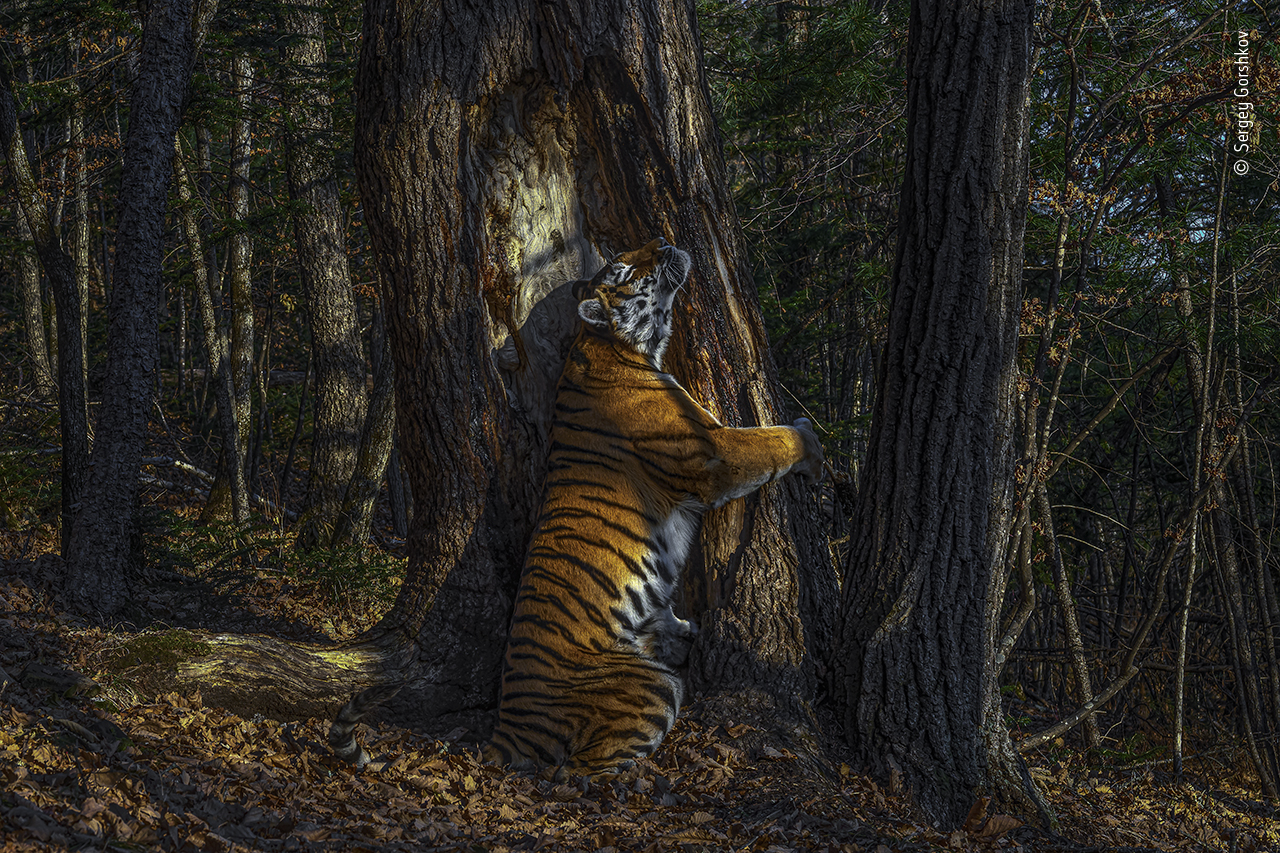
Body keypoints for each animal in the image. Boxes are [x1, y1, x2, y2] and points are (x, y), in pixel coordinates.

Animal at [482, 236, 824, 779]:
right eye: (624, 270)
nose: (662, 241)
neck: (615, 346)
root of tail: (505, 727)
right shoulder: (712, 452)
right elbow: (772, 440)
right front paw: (811, 443)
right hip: (649, 687)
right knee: (583, 772)